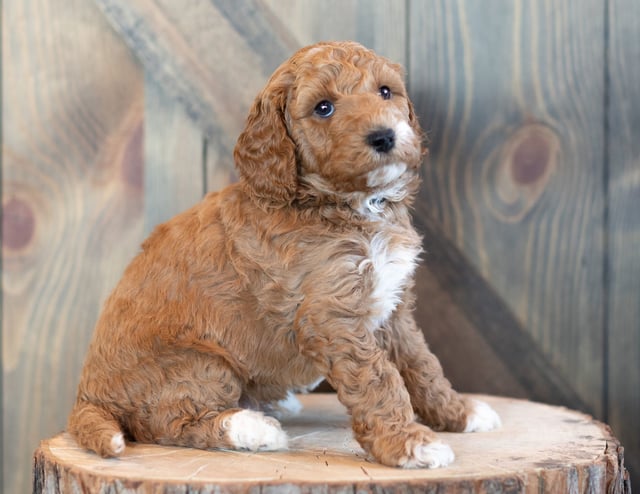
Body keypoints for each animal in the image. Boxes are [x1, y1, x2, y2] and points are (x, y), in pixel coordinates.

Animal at [70, 41, 500, 466]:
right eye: (323, 107)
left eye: (385, 91)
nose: (384, 136)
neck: (352, 207)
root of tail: (87, 397)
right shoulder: (332, 317)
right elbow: (379, 378)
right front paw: (408, 443)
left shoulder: (394, 307)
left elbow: (422, 364)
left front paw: (459, 413)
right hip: (200, 364)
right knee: (168, 421)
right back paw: (253, 428)